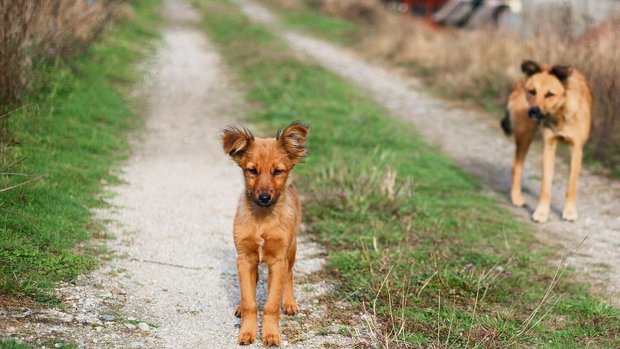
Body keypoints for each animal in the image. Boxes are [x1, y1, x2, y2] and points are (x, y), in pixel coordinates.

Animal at [223, 121, 310, 344]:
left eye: (278, 171)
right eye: (252, 170)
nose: (264, 197)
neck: (262, 219)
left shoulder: (278, 260)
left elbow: (271, 304)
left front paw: (270, 334)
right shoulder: (245, 259)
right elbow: (249, 301)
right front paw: (247, 332)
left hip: (292, 249)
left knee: (288, 276)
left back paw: (289, 302)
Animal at [502, 60, 592, 222]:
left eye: (550, 94)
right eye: (532, 91)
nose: (534, 111)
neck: (559, 113)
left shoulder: (576, 149)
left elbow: (571, 184)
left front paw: (569, 211)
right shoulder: (549, 146)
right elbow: (545, 185)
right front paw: (541, 212)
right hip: (526, 133)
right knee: (516, 165)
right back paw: (517, 198)